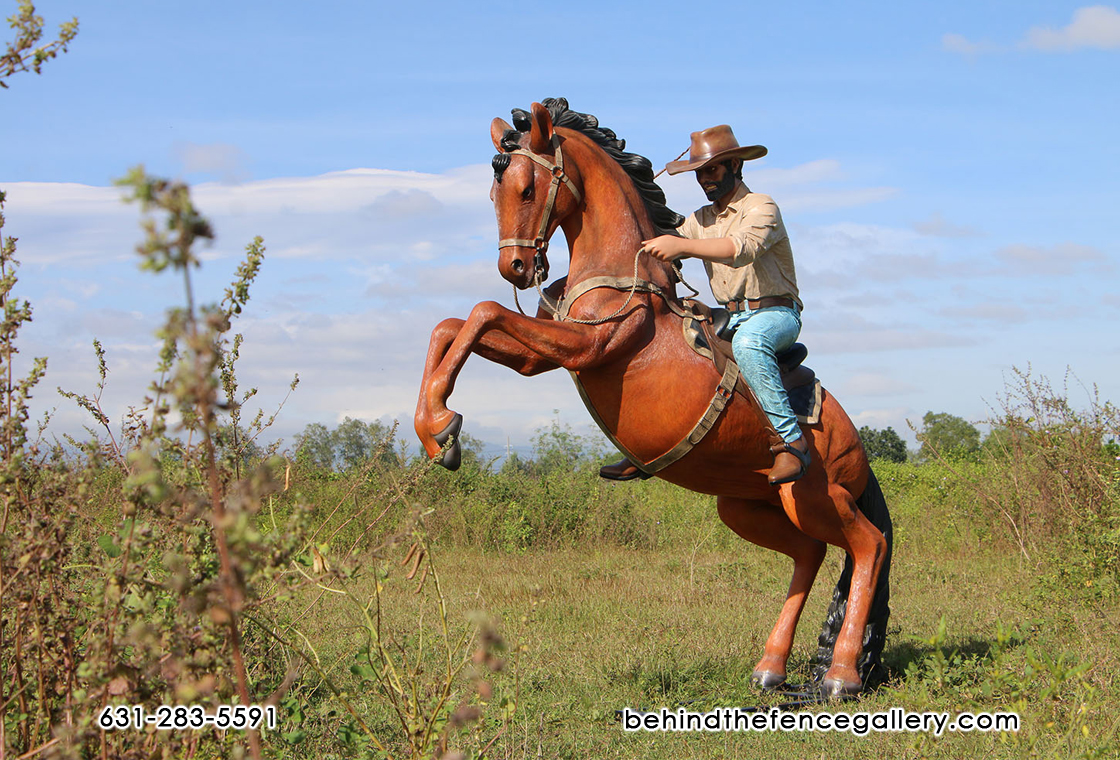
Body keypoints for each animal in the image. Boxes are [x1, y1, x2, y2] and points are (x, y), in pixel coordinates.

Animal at [412, 99, 891, 693]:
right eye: (493, 193)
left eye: (526, 189)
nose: (515, 268)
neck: (623, 271)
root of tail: (857, 450)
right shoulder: (542, 356)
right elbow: (452, 325)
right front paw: (435, 431)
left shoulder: (588, 345)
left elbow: (482, 313)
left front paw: (442, 426)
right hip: (750, 506)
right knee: (811, 552)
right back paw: (770, 668)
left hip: (818, 497)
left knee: (868, 546)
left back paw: (841, 673)